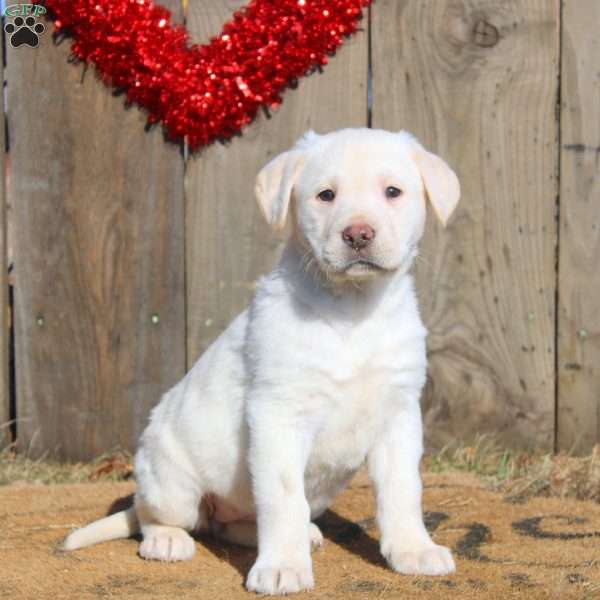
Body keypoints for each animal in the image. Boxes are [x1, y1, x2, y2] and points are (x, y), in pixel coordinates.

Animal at [63, 127, 460, 596]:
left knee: (230, 525)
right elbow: (283, 496)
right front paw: (284, 567)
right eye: (326, 195)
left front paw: (414, 550)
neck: (353, 310)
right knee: (154, 514)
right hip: (169, 482)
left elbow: (403, 490)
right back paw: (166, 540)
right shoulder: (278, 413)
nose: (358, 234)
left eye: (393, 192)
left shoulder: (398, 413)